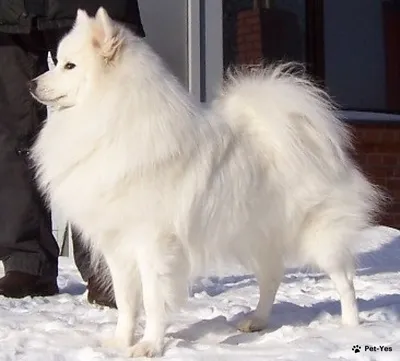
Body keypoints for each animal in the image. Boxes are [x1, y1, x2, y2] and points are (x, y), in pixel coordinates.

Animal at [28, 7, 382, 356]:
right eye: (57, 61)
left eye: (69, 66)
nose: (31, 84)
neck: (110, 120)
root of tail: (307, 135)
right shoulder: (118, 247)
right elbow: (127, 302)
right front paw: (120, 342)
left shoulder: (153, 245)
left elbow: (153, 301)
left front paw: (149, 346)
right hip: (255, 237)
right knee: (272, 277)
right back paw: (257, 321)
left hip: (319, 236)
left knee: (345, 281)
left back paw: (350, 328)